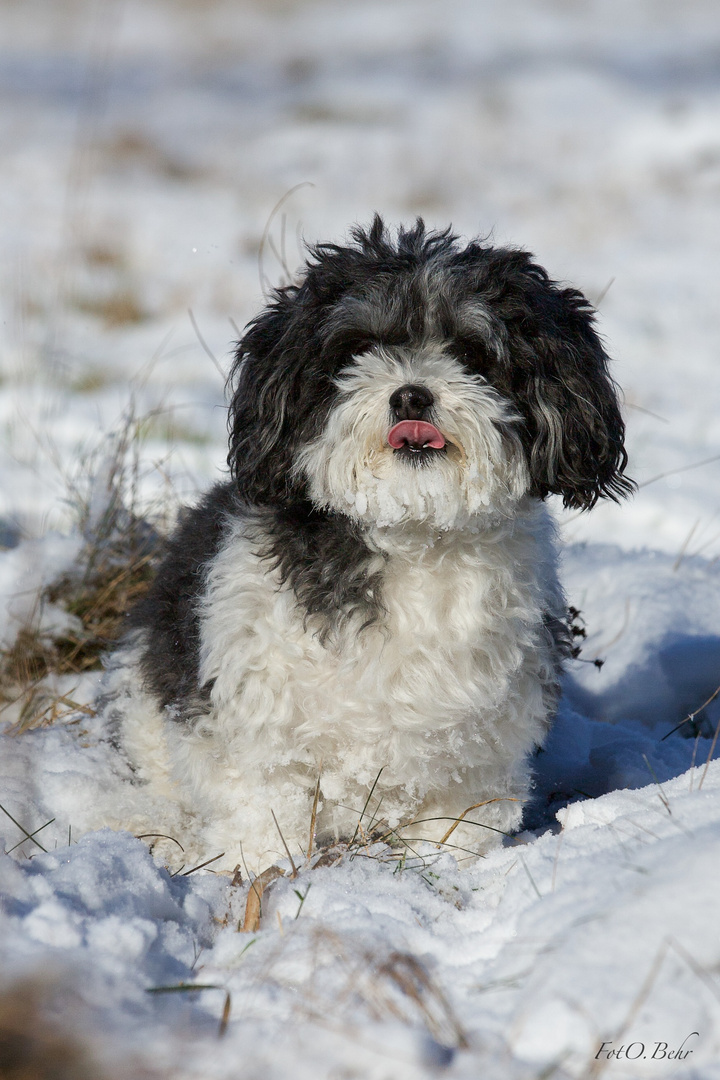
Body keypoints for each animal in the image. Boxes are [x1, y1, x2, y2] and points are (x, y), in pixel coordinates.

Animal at [105, 217, 630, 868]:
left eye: (471, 353)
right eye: (357, 350)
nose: (411, 395)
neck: (413, 535)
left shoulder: (478, 749)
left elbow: (457, 823)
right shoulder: (256, 727)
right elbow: (263, 811)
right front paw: (261, 874)